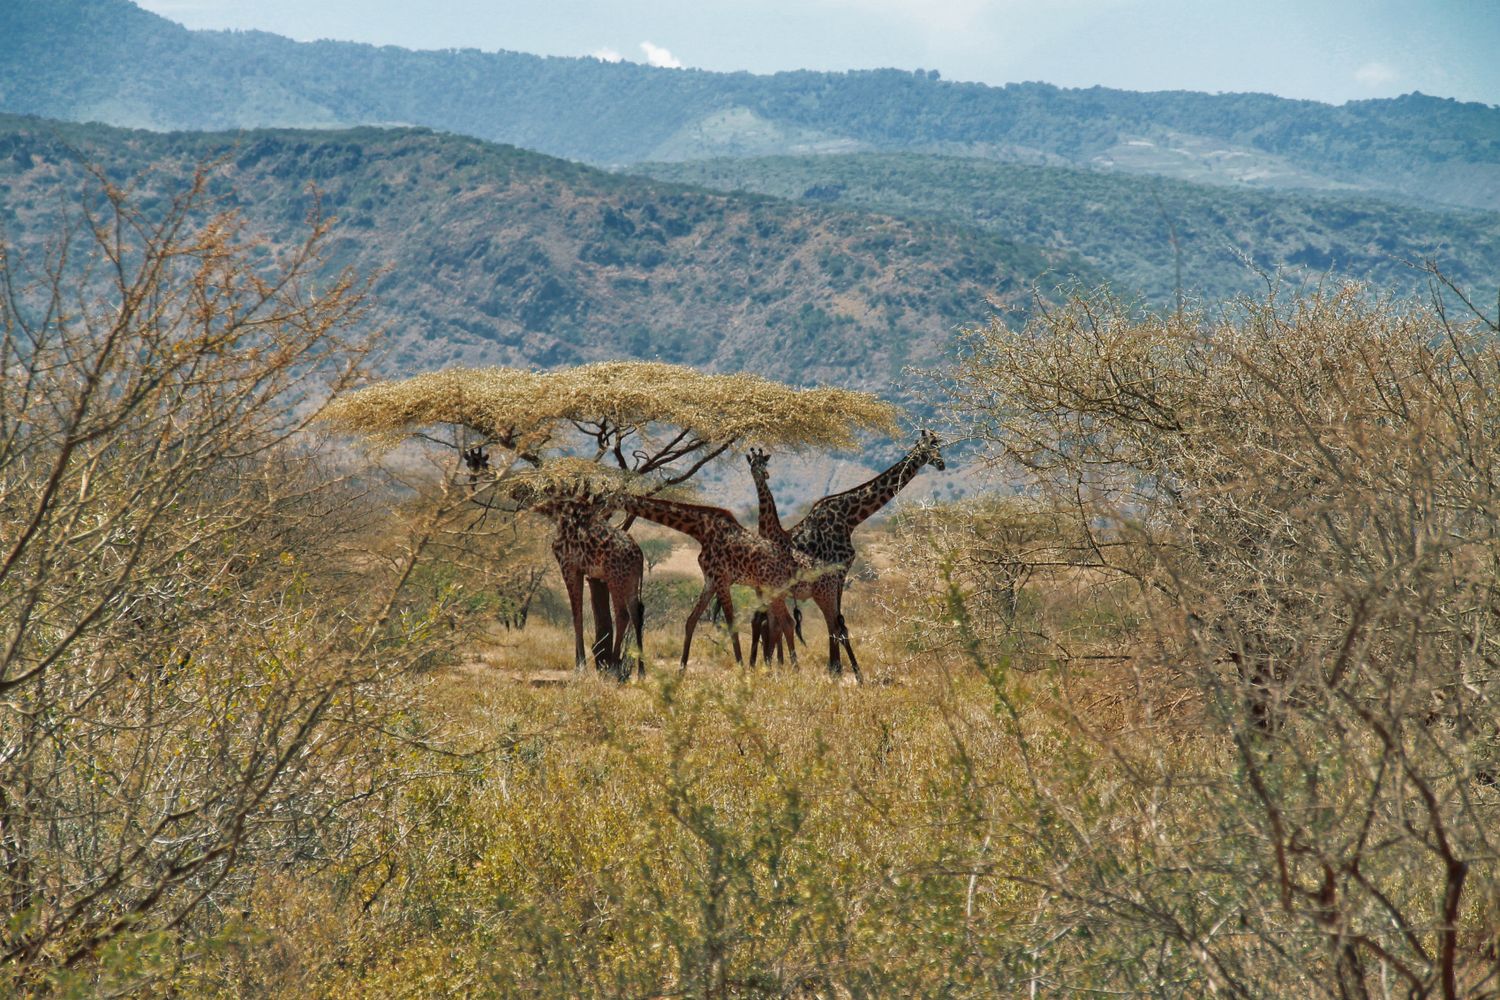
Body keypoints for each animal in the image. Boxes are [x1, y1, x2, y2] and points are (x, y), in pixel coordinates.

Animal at [606, 494, 846, 680]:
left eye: (608, 498)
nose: (604, 513)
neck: (700, 530)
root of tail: (789, 564)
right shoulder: (710, 580)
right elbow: (691, 620)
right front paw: (681, 670)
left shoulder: (722, 579)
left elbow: (731, 623)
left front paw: (741, 668)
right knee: (797, 624)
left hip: (779, 589)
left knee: (790, 622)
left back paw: (797, 670)